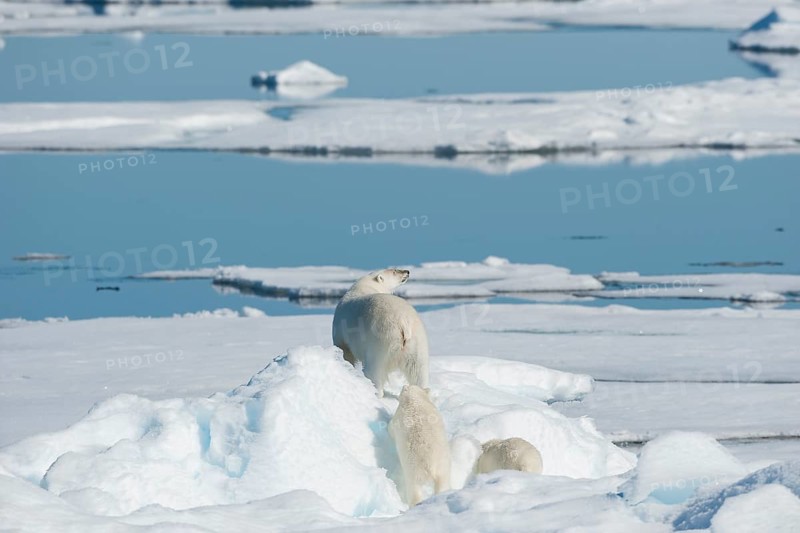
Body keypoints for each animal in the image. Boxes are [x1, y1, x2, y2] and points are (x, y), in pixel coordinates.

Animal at [332, 268, 429, 398]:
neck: (365, 286)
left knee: (374, 371)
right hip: (417, 342)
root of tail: (403, 322)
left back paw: (374, 392)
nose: (407, 271)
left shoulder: (341, 332)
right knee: (419, 372)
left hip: (380, 340)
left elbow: (345, 352)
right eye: (394, 271)